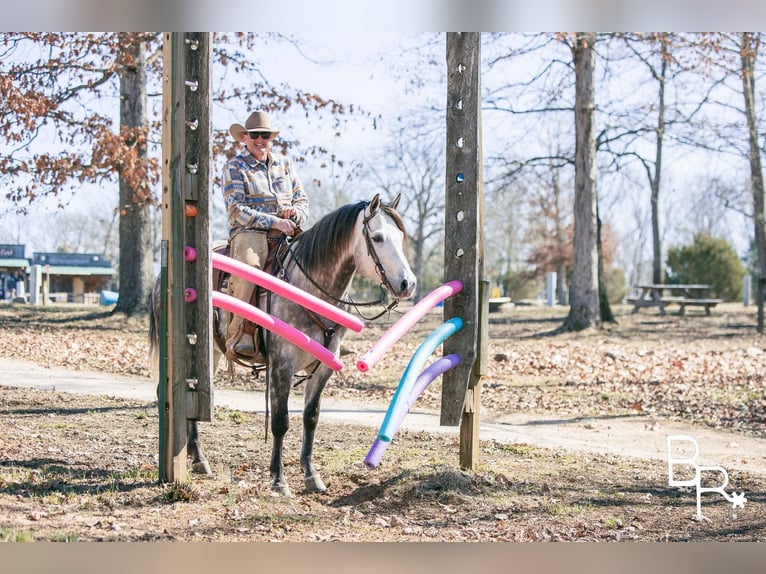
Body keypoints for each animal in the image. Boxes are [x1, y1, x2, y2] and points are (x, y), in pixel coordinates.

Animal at [148, 195, 414, 500]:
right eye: (378, 237)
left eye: (400, 237)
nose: (408, 284)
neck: (310, 290)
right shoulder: (282, 366)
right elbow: (280, 421)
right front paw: (278, 479)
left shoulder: (322, 369)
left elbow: (311, 417)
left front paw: (311, 474)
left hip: (209, 354)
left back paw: (198, 458)